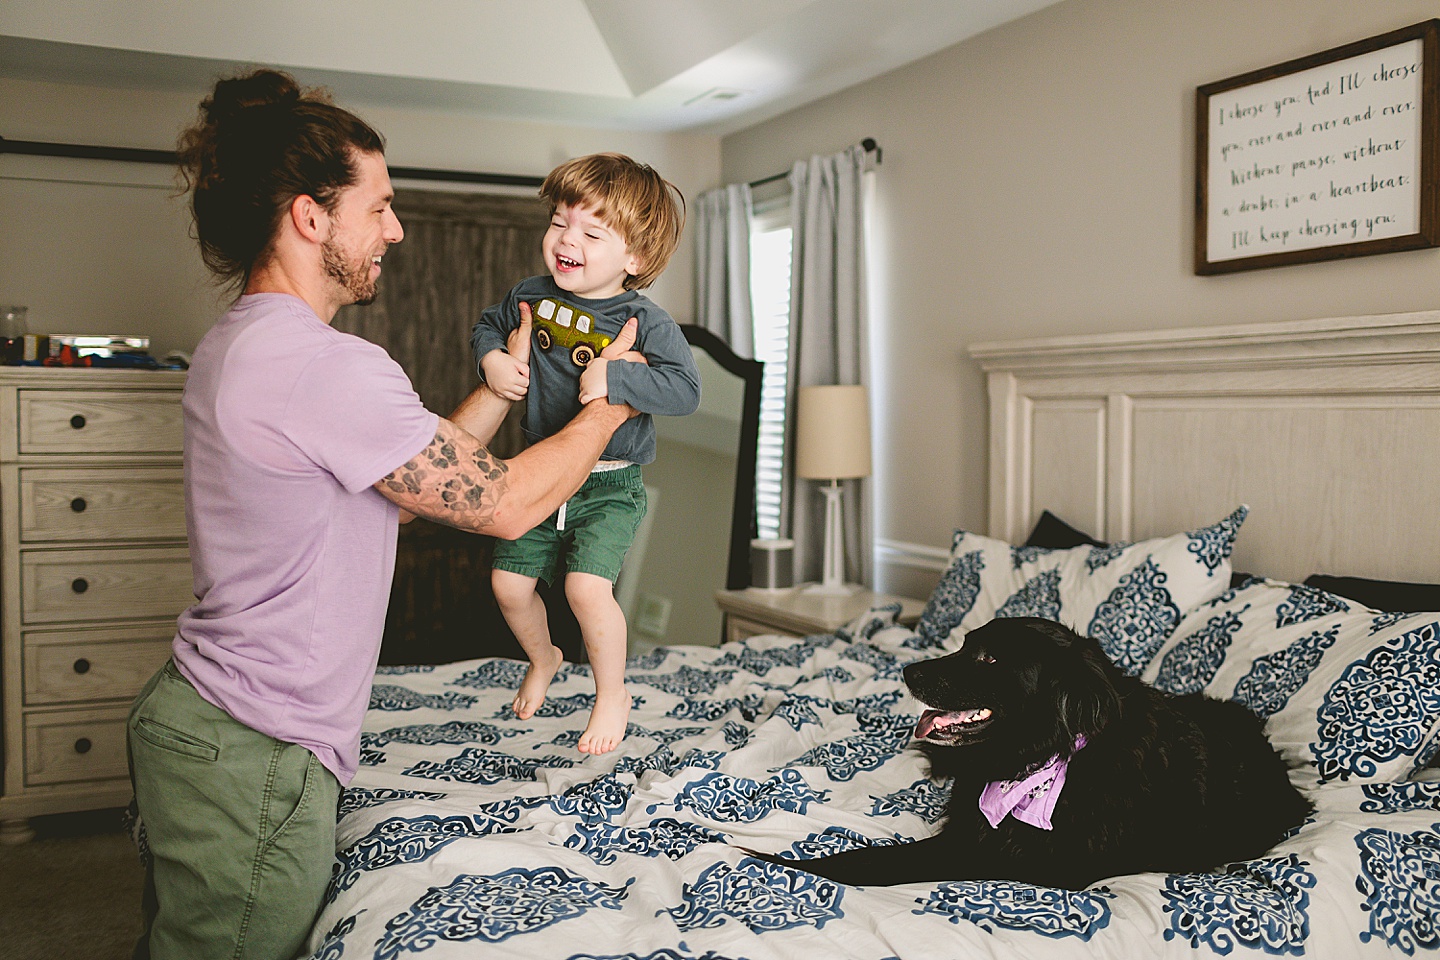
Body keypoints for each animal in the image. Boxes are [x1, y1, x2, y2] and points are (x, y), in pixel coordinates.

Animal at [766, 618, 1319, 892]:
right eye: (963, 645)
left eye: (989, 657)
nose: (908, 672)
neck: (1041, 759)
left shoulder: (1033, 864)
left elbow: (888, 861)